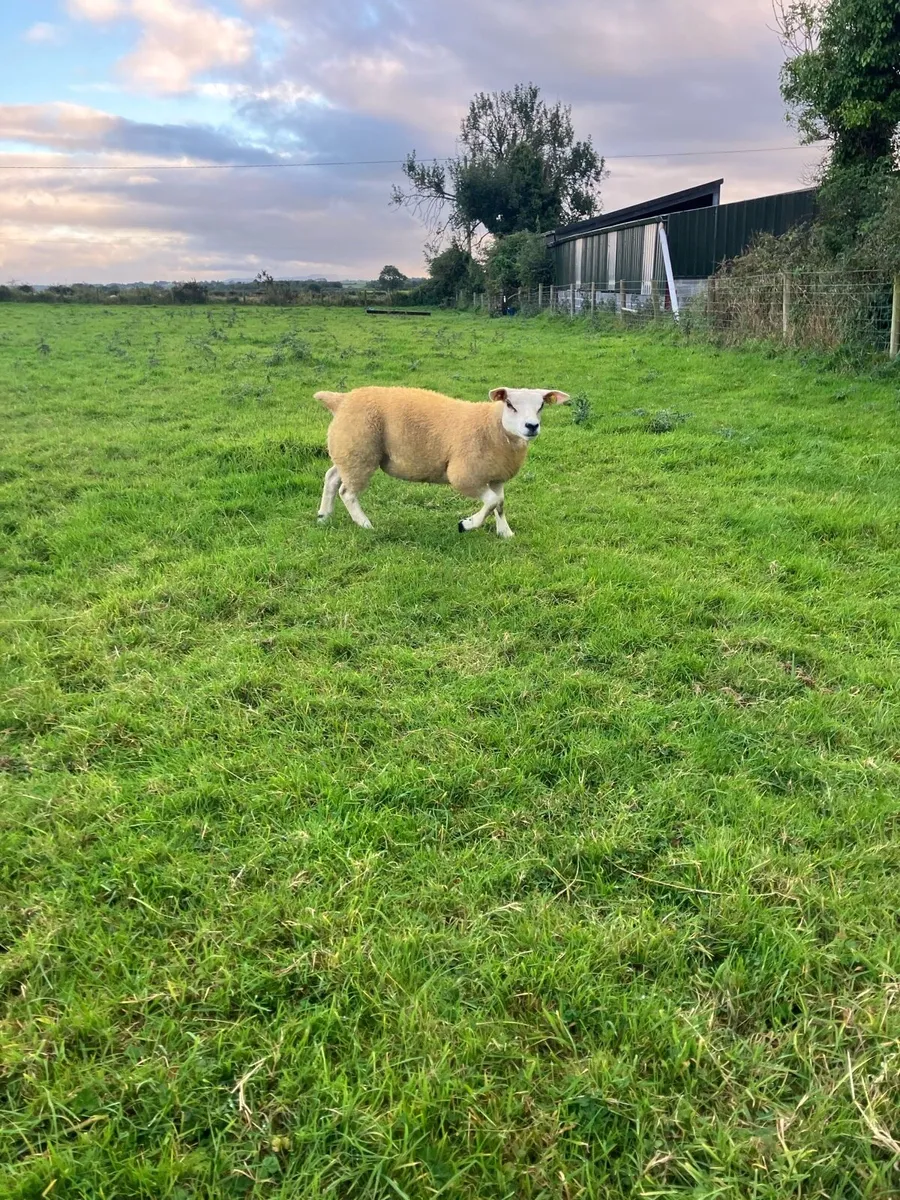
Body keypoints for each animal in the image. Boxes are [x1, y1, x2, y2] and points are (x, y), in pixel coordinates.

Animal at [314, 385, 570, 537]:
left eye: (541, 406)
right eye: (509, 404)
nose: (531, 426)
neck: (492, 425)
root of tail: (340, 400)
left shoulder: (496, 475)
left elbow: (500, 503)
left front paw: (505, 533)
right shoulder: (464, 476)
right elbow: (491, 502)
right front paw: (466, 524)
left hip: (347, 451)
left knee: (332, 477)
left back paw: (323, 516)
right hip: (359, 452)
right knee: (347, 492)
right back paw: (365, 524)